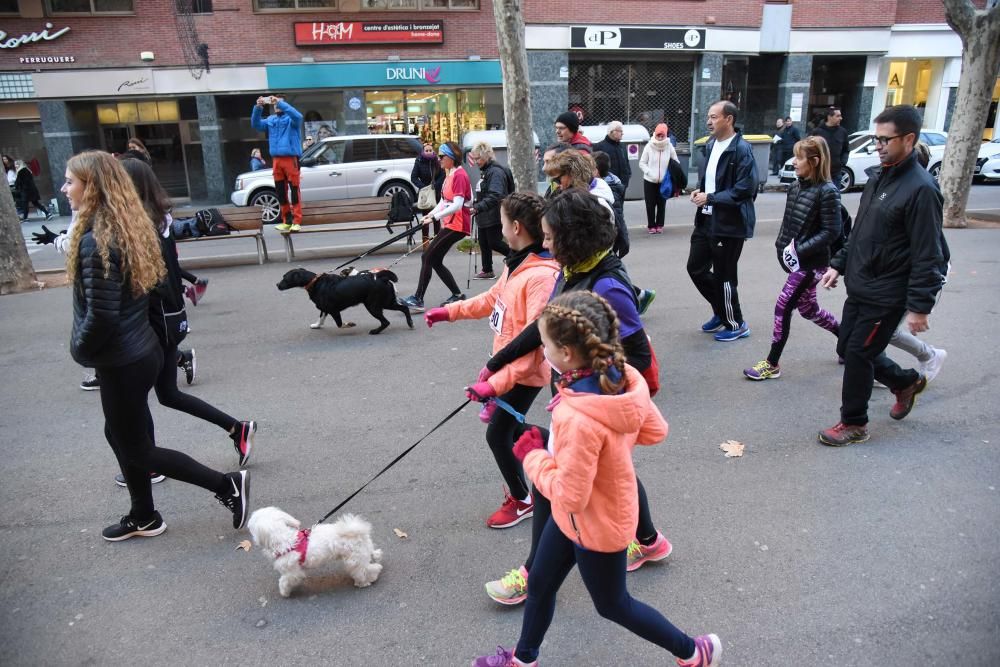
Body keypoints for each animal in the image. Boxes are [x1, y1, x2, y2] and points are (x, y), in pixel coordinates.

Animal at [246, 508, 382, 596]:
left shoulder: (292, 572)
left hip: (354, 560)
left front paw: (284, 592)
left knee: (367, 570)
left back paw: (364, 582)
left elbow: (284, 580)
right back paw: (375, 555)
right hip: (363, 551)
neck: (285, 540)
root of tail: (357, 531)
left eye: (251, 527)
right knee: (370, 556)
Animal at [276, 268, 412, 336]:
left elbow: (339, 324)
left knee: (386, 322)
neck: (314, 282)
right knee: (404, 308)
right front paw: (317, 325)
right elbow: (321, 317)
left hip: (373, 306)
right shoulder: (324, 308)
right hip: (386, 302)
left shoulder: (334, 310)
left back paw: (375, 331)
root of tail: (379, 276)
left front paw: (349, 324)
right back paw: (410, 323)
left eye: (285, 278)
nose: (277, 285)